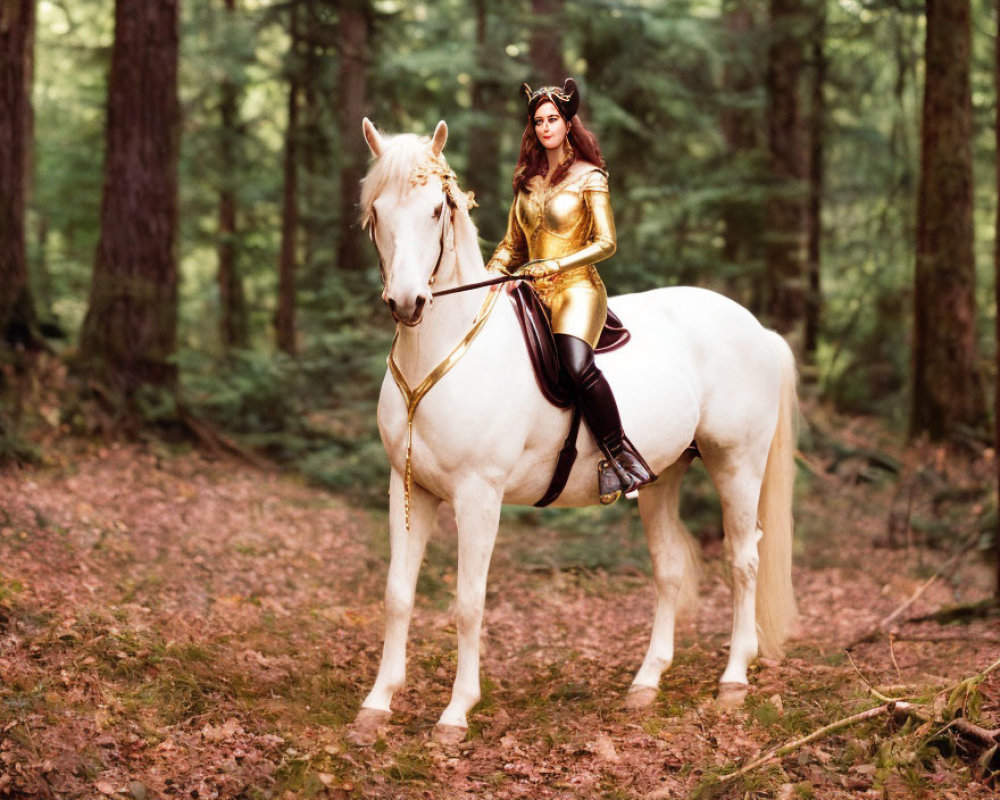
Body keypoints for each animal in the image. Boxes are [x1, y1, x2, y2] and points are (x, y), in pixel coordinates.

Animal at [352, 117, 796, 744]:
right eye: (376, 210)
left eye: (437, 209)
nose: (408, 302)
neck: (442, 348)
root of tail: (758, 329)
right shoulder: (408, 486)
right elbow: (397, 594)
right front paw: (377, 705)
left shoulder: (478, 494)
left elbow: (468, 601)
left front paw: (456, 712)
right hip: (662, 475)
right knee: (669, 569)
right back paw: (646, 683)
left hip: (737, 463)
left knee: (743, 561)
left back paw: (733, 680)